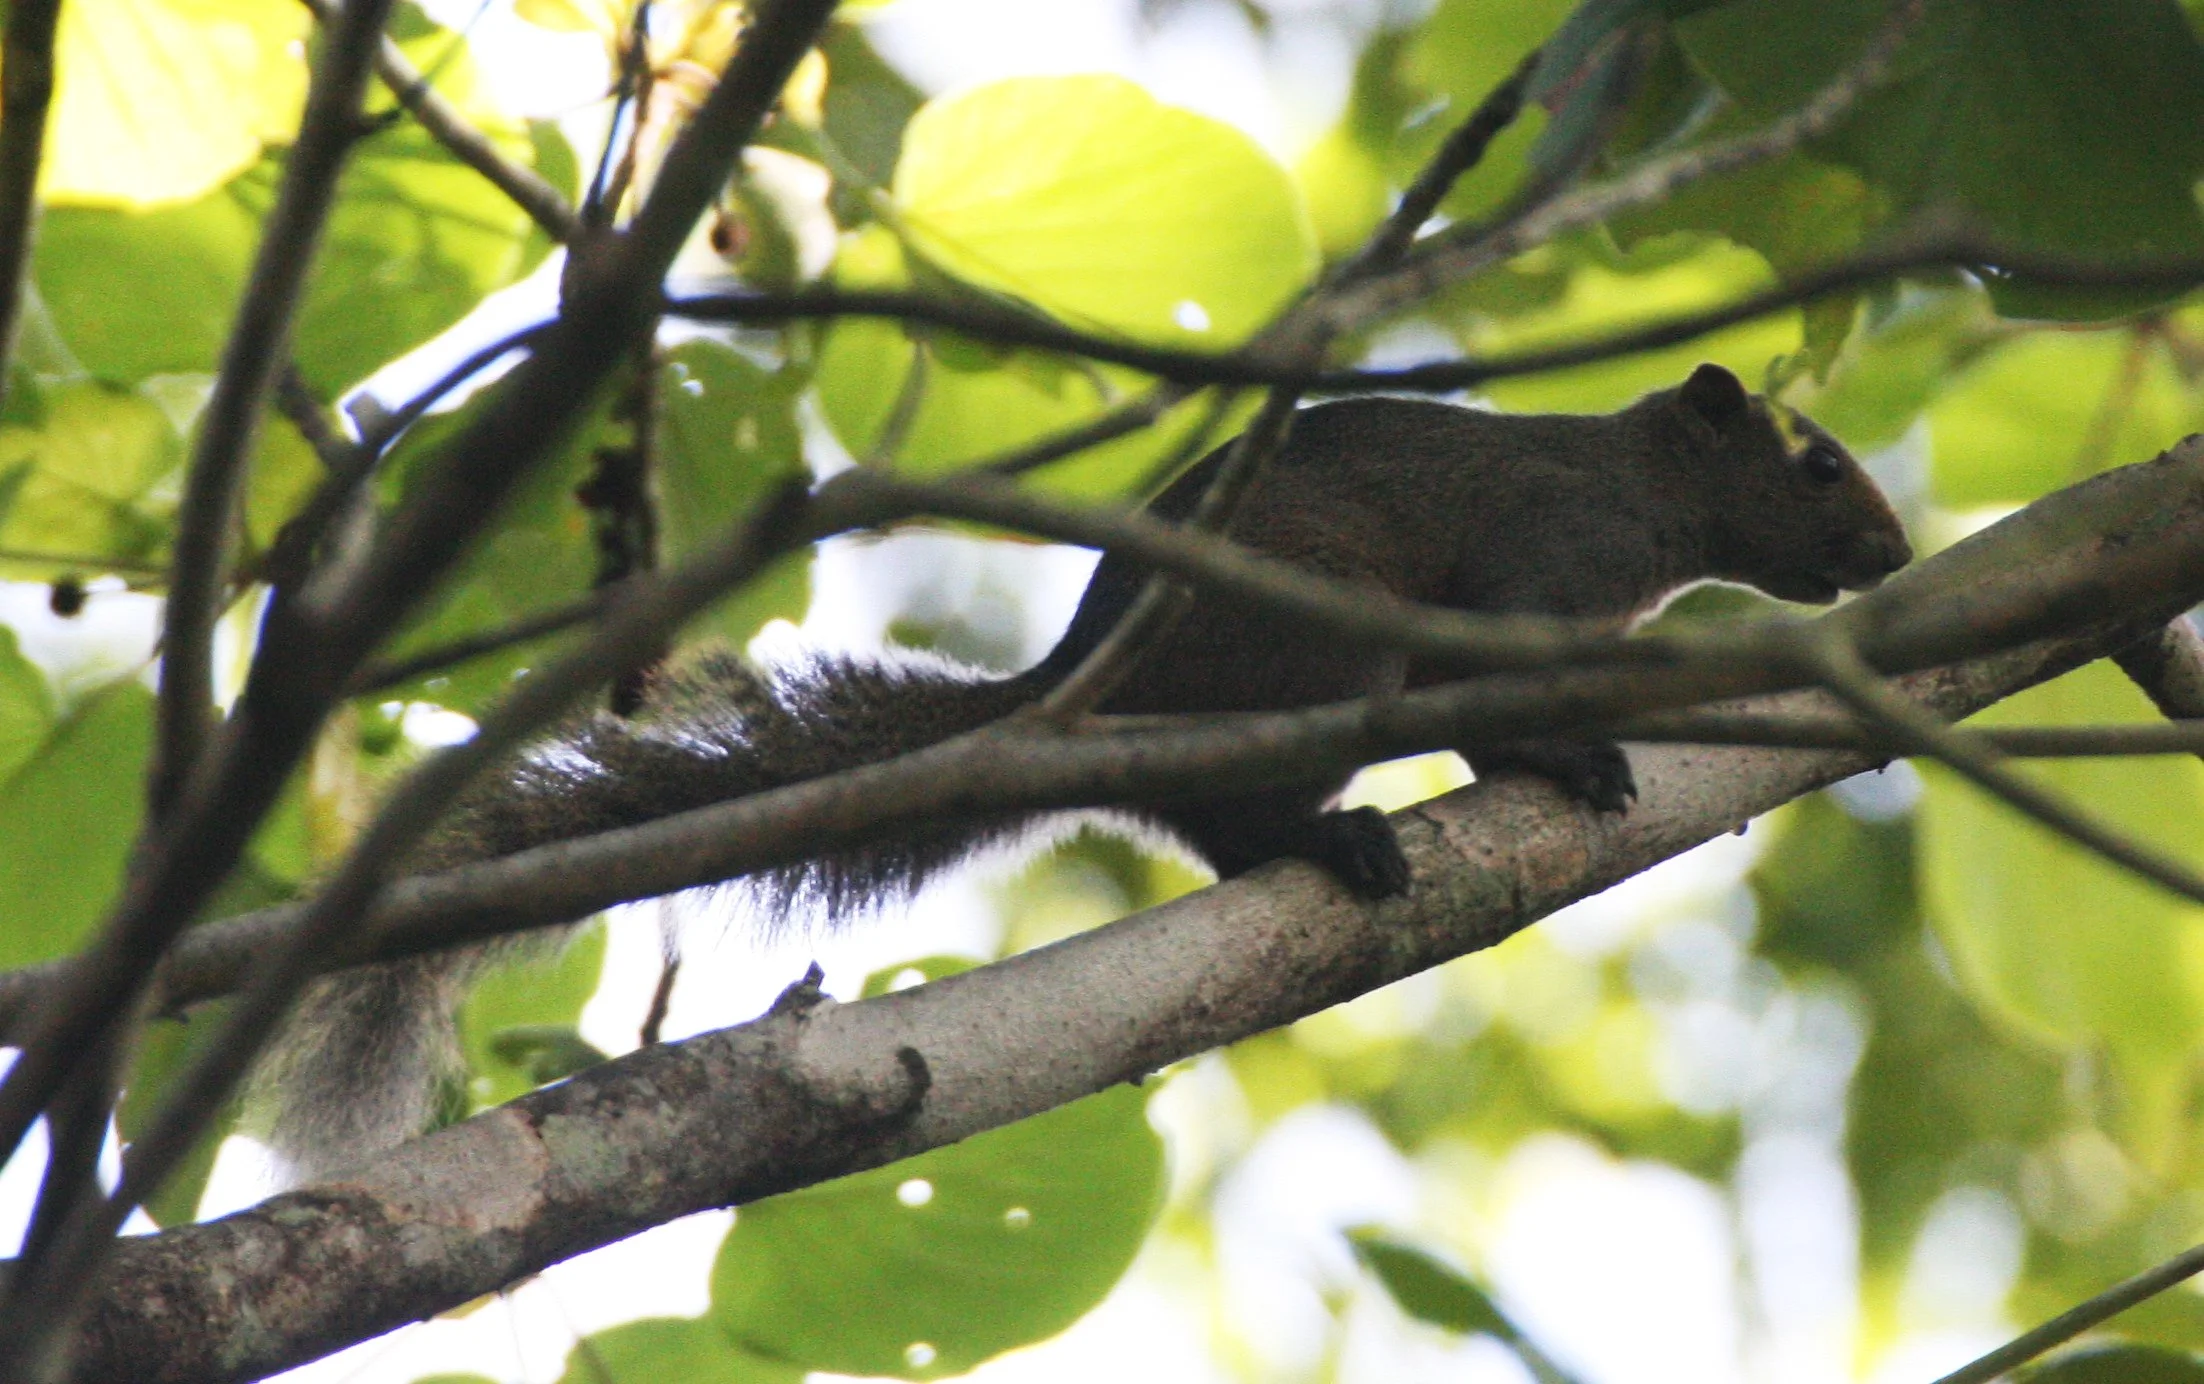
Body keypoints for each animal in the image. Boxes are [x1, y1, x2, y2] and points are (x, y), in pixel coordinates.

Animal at [257, 361, 1911, 1178]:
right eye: (1817, 461)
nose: (1895, 554)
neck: (1648, 502)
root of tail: (1070, 695)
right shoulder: (1527, 569)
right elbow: (1489, 695)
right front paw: (1566, 755)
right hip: (1311, 654)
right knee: (1241, 815)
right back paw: (1343, 846)